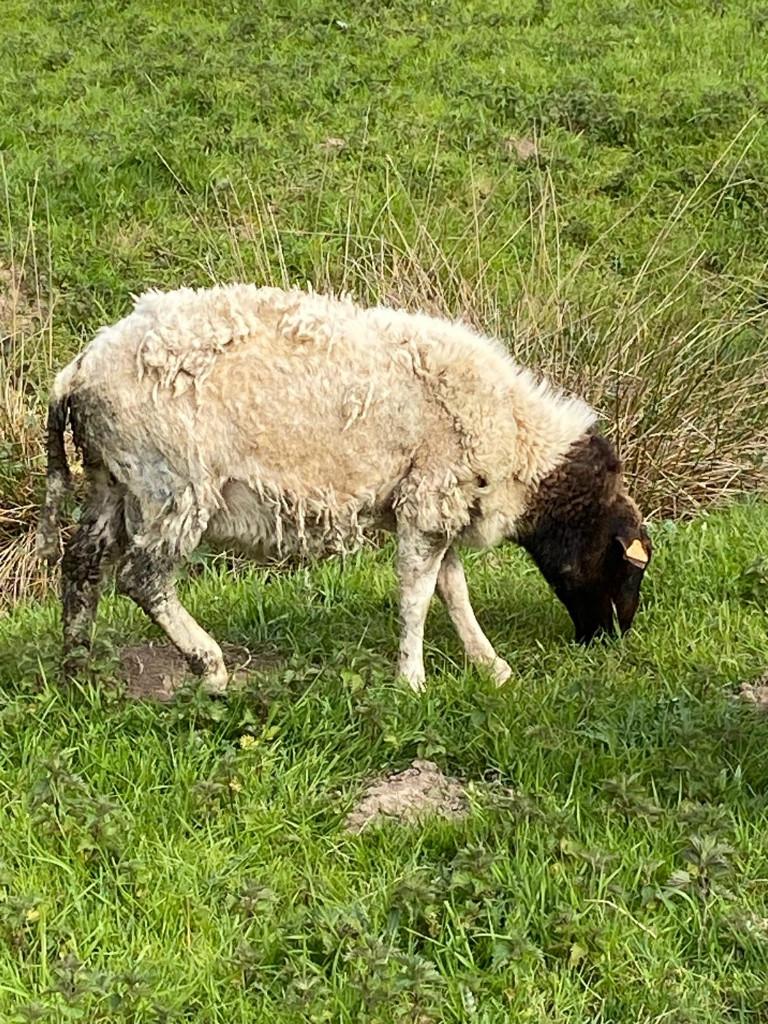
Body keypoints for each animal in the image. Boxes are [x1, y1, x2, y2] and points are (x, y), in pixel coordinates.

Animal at [37, 284, 652, 694]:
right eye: (625, 569)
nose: (610, 638)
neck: (520, 439)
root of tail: (78, 372)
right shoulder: (430, 497)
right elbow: (417, 597)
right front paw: (413, 681)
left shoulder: (436, 501)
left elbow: (453, 590)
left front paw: (490, 666)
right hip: (173, 482)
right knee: (142, 579)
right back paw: (210, 669)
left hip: (113, 477)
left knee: (82, 561)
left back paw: (76, 667)